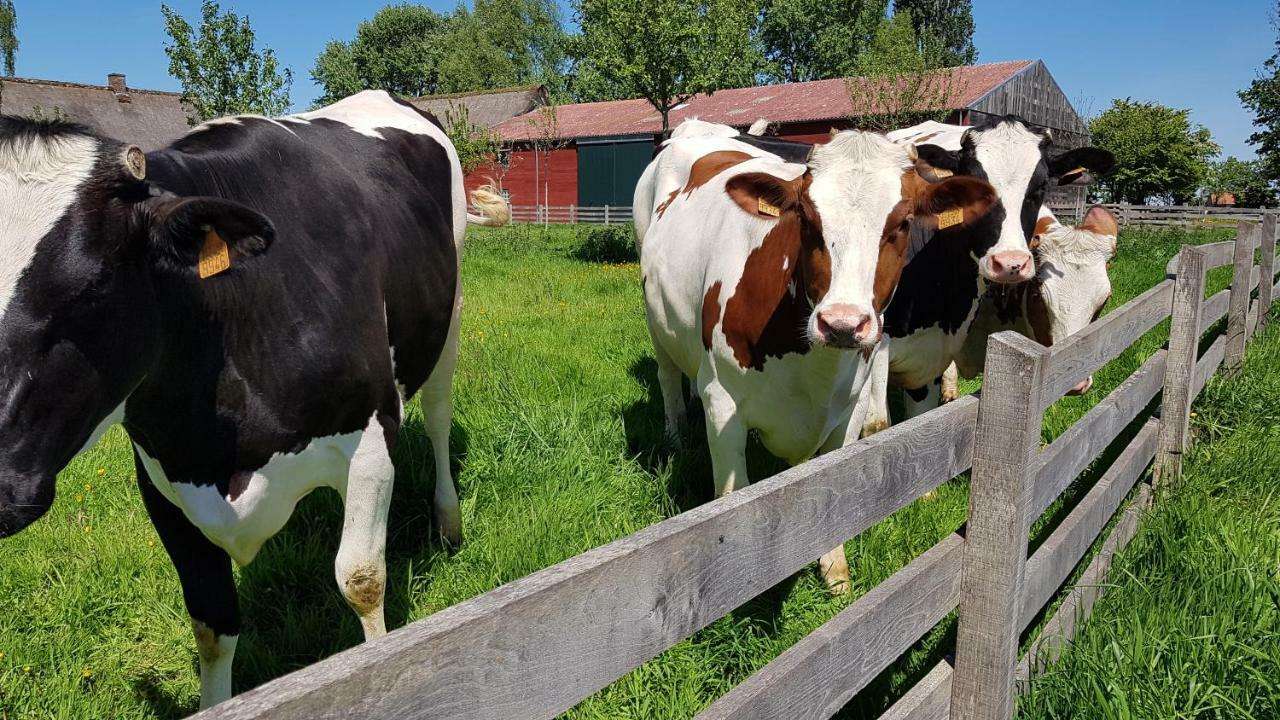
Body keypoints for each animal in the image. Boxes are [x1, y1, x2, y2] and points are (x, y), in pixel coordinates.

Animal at [0, 89, 506, 707]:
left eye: (94, 284)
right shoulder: (161, 477)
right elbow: (211, 621)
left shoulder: (371, 436)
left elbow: (361, 580)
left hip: (447, 317)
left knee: (436, 416)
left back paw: (448, 521)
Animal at [632, 119, 998, 589]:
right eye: (806, 218)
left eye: (902, 223)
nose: (842, 323)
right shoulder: (721, 403)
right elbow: (733, 502)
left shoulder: (852, 407)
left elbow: (832, 489)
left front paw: (835, 573)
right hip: (656, 322)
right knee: (668, 379)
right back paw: (675, 435)